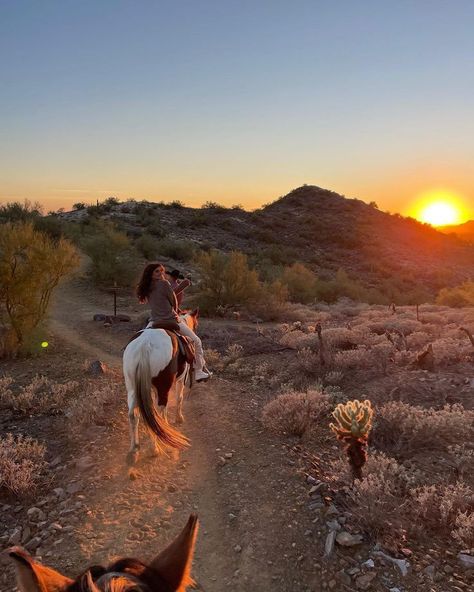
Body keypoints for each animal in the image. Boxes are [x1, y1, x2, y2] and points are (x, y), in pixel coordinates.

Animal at [122, 308, 198, 464]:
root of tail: (145, 345)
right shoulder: (181, 380)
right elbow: (179, 398)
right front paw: (179, 418)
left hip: (132, 388)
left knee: (134, 414)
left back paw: (134, 449)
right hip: (164, 388)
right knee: (158, 413)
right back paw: (155, 448)